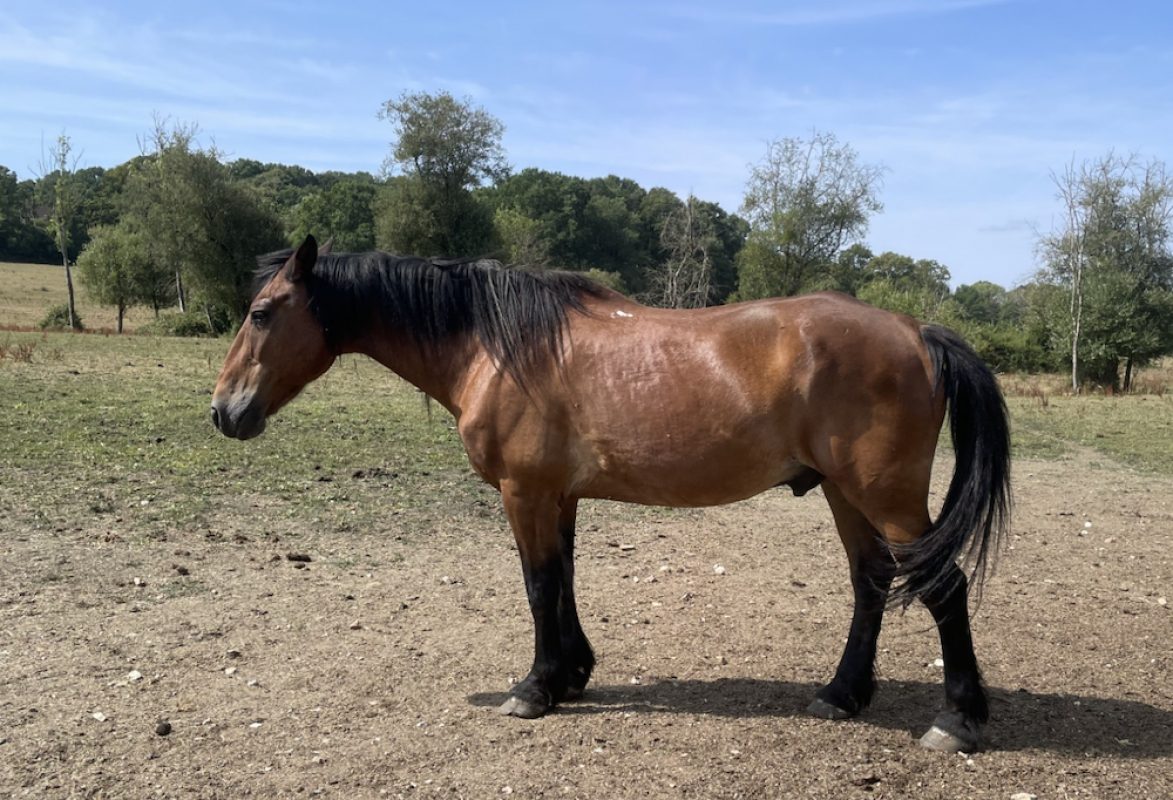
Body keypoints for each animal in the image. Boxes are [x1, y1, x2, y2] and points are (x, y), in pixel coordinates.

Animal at [211, 235, 1010, 753]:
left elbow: (538, 587)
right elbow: (563, 581)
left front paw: (534, 689)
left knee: (942, 587)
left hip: (886, 497)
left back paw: (957, 721)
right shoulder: (557, 497)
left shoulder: (525, 493)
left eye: (261, 312)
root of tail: (916, 330)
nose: (224, 412)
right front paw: (572, 674)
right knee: (870, 582)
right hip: (846, 495)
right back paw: (841, 695)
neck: (499, 346)